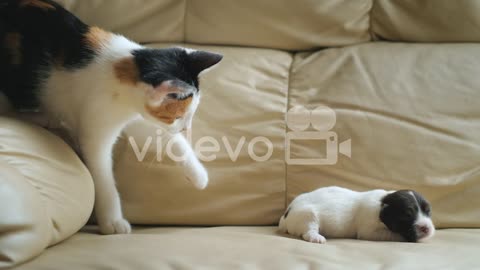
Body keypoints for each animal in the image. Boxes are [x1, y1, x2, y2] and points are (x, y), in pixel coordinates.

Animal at [0, 0, 221, 233]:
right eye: (177, 117)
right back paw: (44, 117)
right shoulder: (96, 130)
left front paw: (198, 174)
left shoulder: (139, 115)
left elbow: (169, 138)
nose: (186, 128)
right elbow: (103, 176)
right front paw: (112, 222)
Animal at [280, 187, 436, 244]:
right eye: (407, 215)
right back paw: (317, 238)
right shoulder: (369, 231)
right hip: (307, 216)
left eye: (428, 211)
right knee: (308, 231)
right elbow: (394, 234)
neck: (382, 203)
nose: (427, 228)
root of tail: (286, 215)